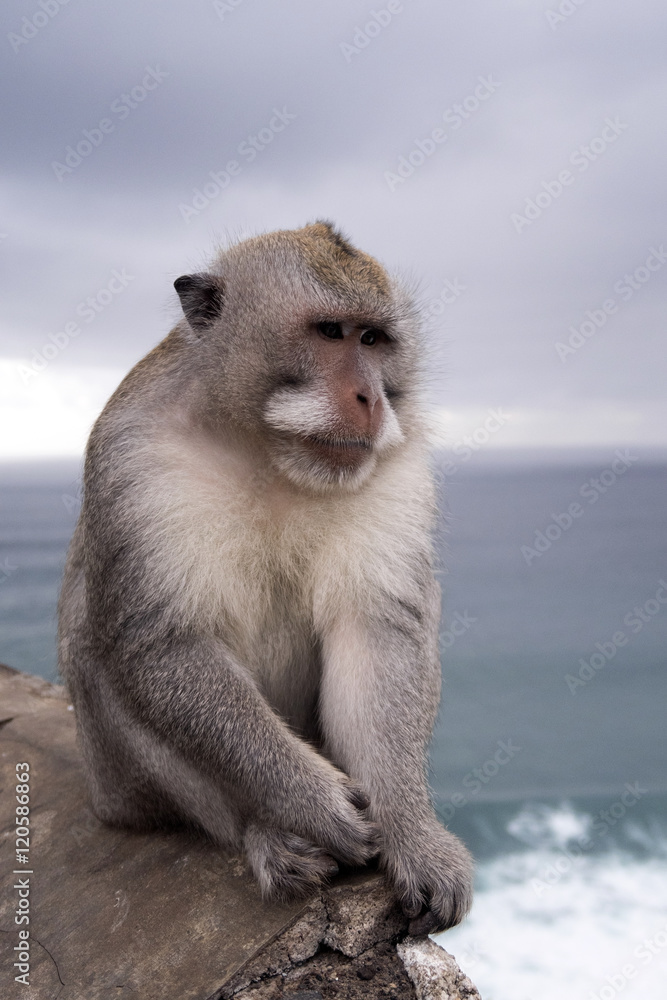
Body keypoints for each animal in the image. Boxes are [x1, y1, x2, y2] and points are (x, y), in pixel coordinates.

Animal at [57, 221, 473, 935]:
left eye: (372, 340)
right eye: (330, 332)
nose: (370, 397)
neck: (264, 447)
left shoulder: (395, 463)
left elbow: (376, 632)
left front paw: (412, 834)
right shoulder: (132, 458)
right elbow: (162, 646)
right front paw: (311, 805)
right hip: (115, 789)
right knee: (100, 646)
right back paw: (265, 833)